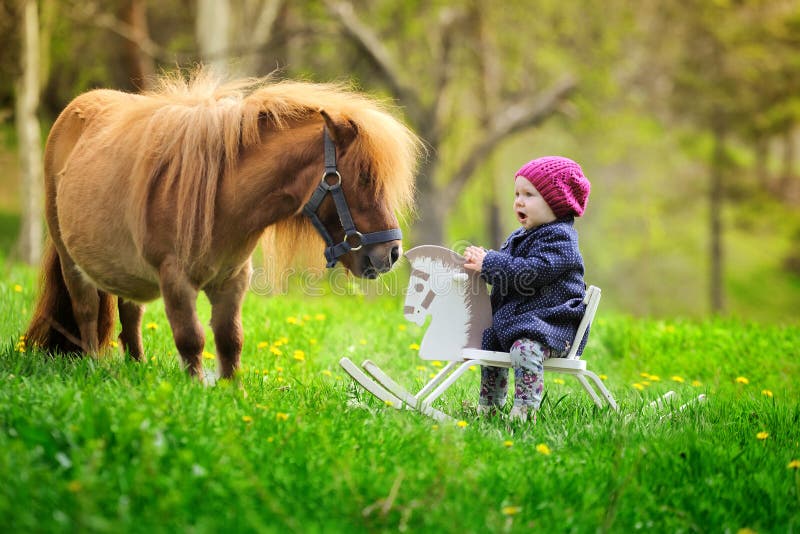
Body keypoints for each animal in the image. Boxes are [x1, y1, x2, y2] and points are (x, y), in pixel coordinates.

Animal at [25, 70, 422, 382]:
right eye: (365, 178)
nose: (391, 252)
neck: (220, 197)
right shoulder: (176, 279)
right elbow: (191, 338)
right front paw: (194, 389)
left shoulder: (233, 279)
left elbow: (231, 339)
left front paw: (233, 393)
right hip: (70, 261)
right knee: (86, 311)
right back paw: (93, 365)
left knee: (131, 314)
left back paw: (136, 368)